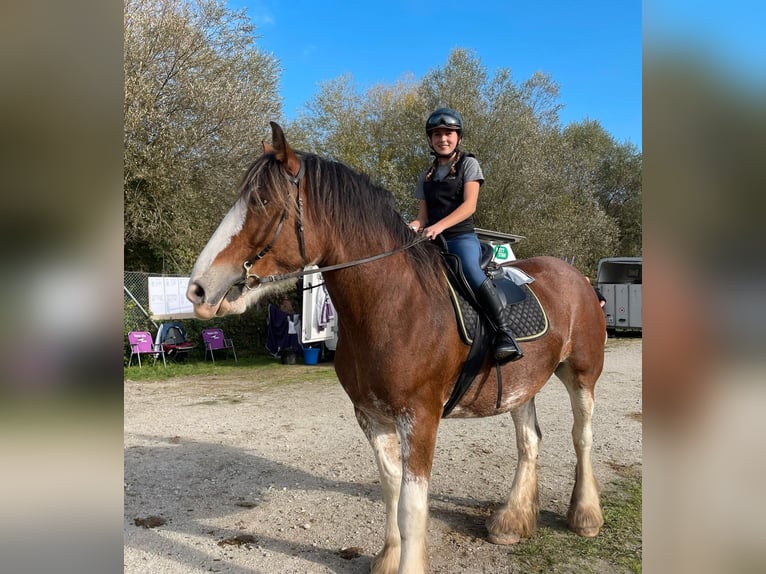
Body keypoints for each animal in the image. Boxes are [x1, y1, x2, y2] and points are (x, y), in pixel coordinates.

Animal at [186, 122, 608, 574]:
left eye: (263, 201)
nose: (198, 290)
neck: (394, 303)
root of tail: (576, 277)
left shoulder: (420, 418)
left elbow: (411, 505)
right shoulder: (371, 416)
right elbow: (390, 487)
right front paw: (388, 557)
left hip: (582, 375)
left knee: (582, 436)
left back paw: (586, 516)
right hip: (520, 384)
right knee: (529, 441)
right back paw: (511, 521)